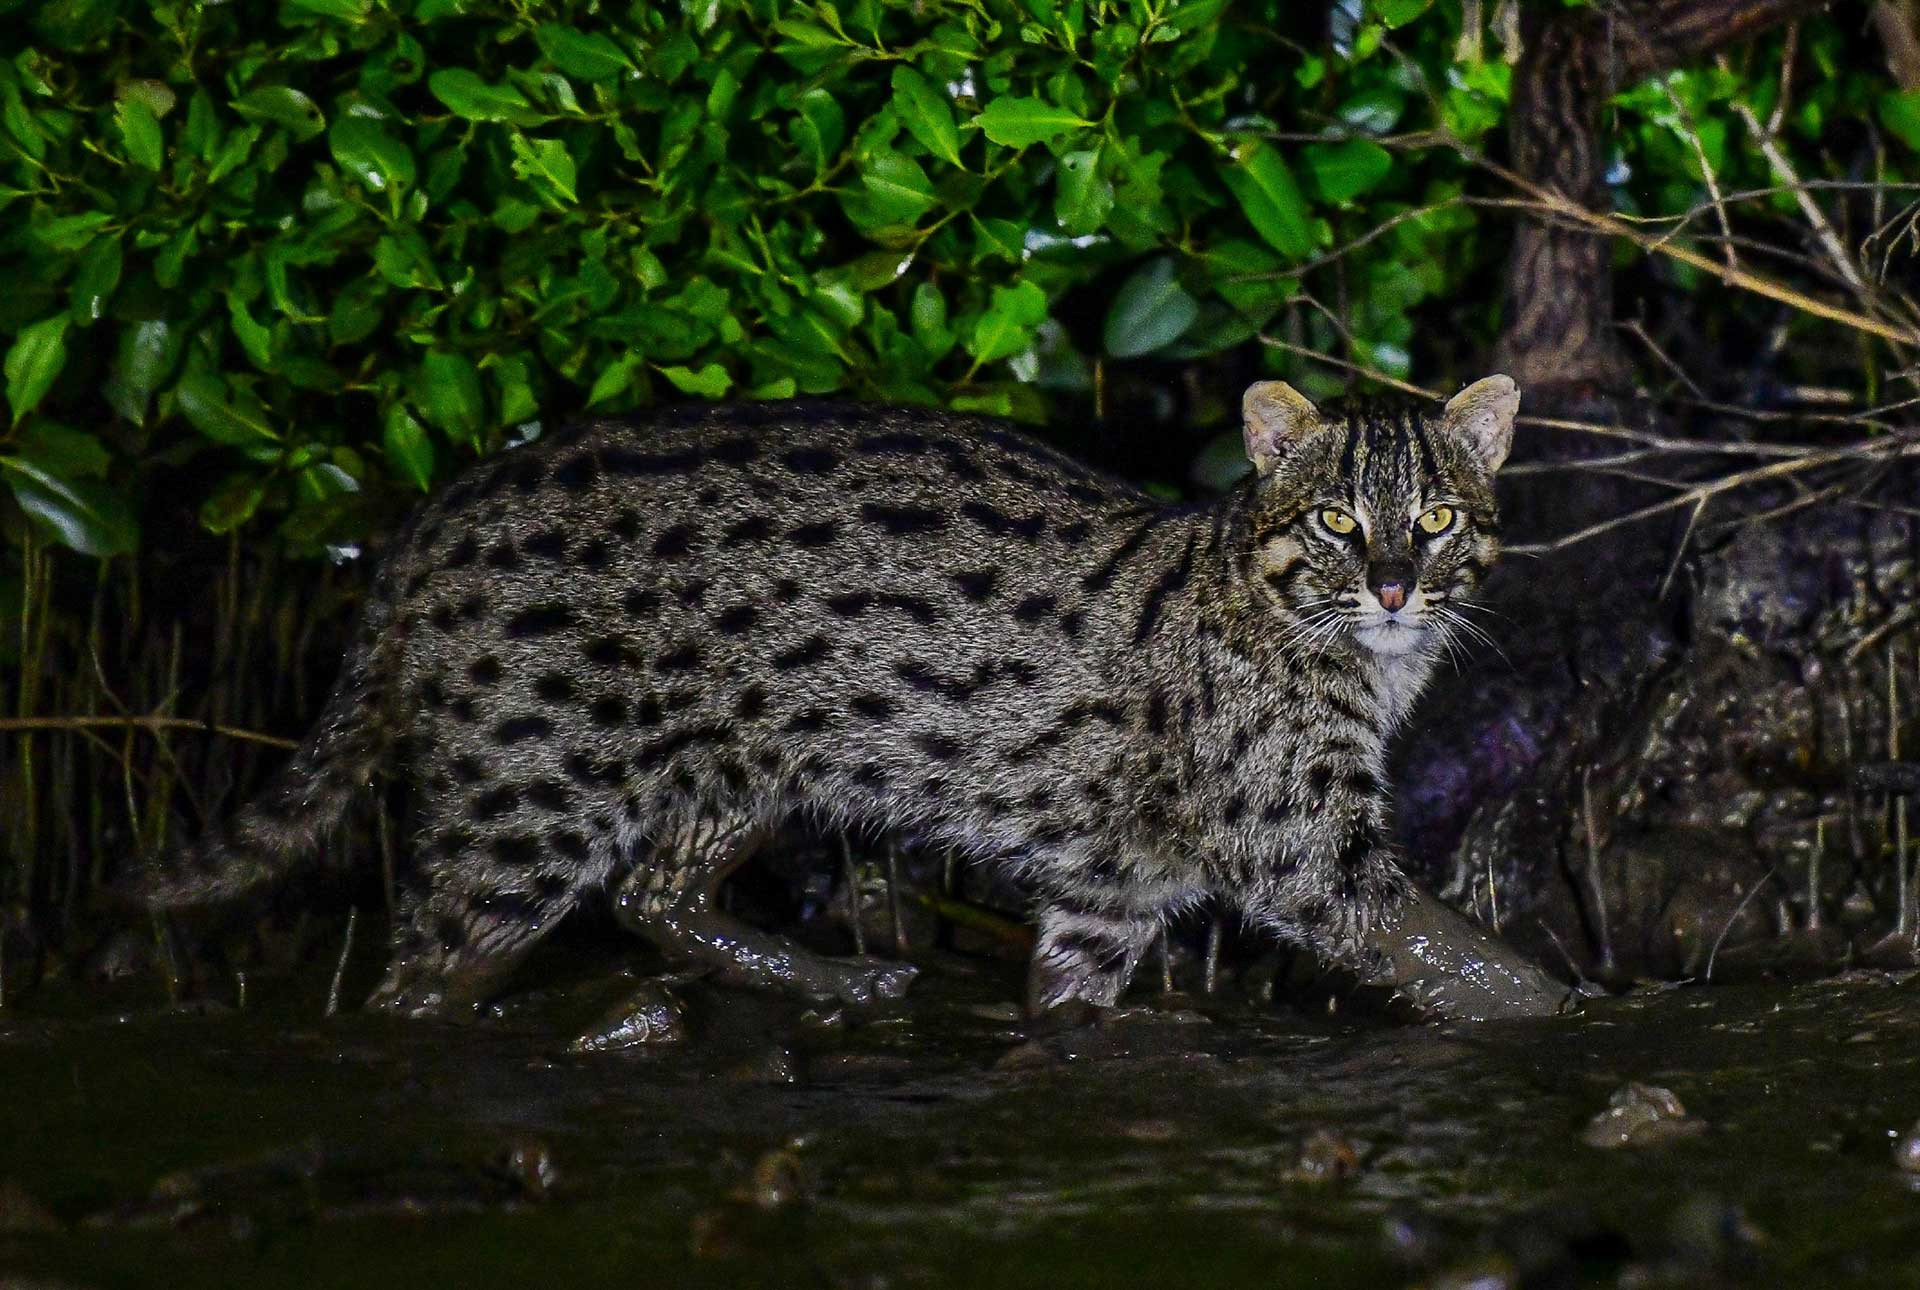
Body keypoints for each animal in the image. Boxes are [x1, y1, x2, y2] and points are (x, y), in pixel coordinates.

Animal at [135, 376, 1520, 1021]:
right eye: (1338, 520)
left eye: (1439, 519)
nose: (1396, 586)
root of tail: (430, 520)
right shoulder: (1301, 848)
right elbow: (1468, 964)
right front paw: (1559, 1022)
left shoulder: (1108, 896)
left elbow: (1069, 996)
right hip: (525, 808)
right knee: (420, 972)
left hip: (745, 769)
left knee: (654, 893)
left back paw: (825, 981)